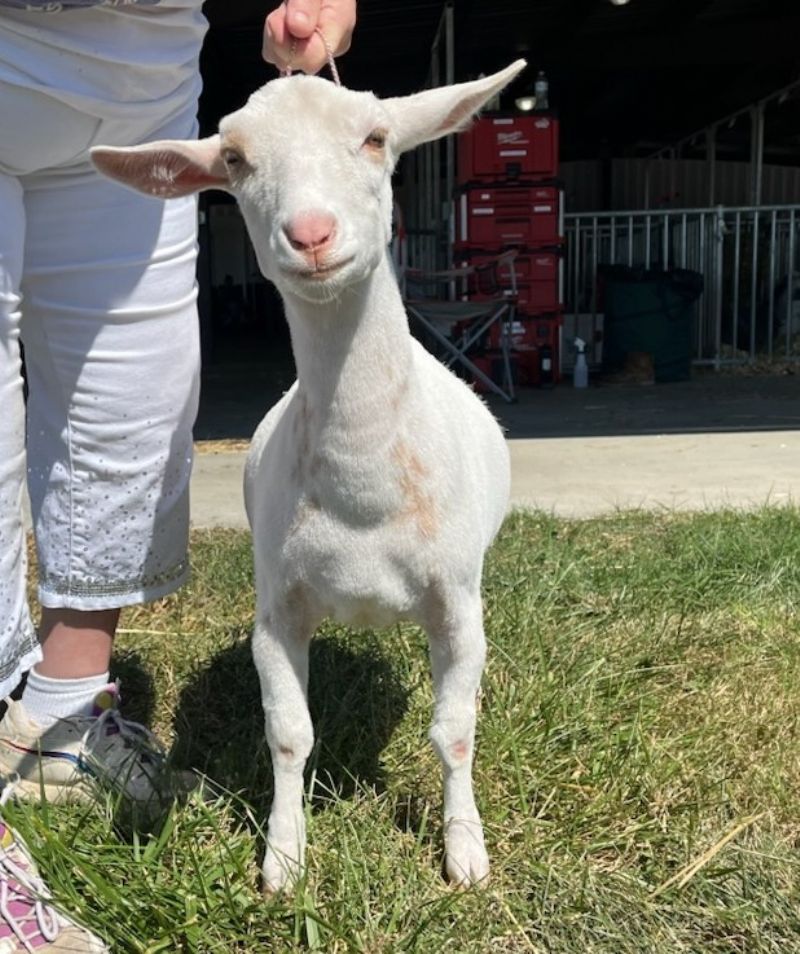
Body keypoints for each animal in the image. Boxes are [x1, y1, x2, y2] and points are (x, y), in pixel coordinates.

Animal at [91, 58, 525, 892]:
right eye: (233, 159)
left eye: (377, 136)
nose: (312, 235)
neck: (364, 493)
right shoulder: (278, 608)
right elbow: (289, 734)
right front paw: (283, 858)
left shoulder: (460, 603)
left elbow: (454, 731)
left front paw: (465, 851)